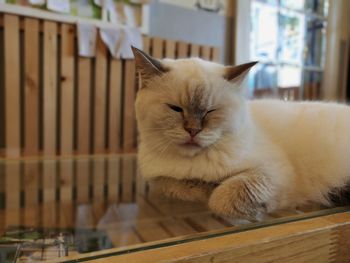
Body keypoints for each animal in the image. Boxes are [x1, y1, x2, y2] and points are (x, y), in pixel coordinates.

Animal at [131, 46, 350, 222]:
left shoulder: (273, 171)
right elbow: (177, 187)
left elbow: (220, 199)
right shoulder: (158, 180)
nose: (193, 130)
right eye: (175, 109)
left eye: (211, 111)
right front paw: (202, 188)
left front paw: (256, 210)